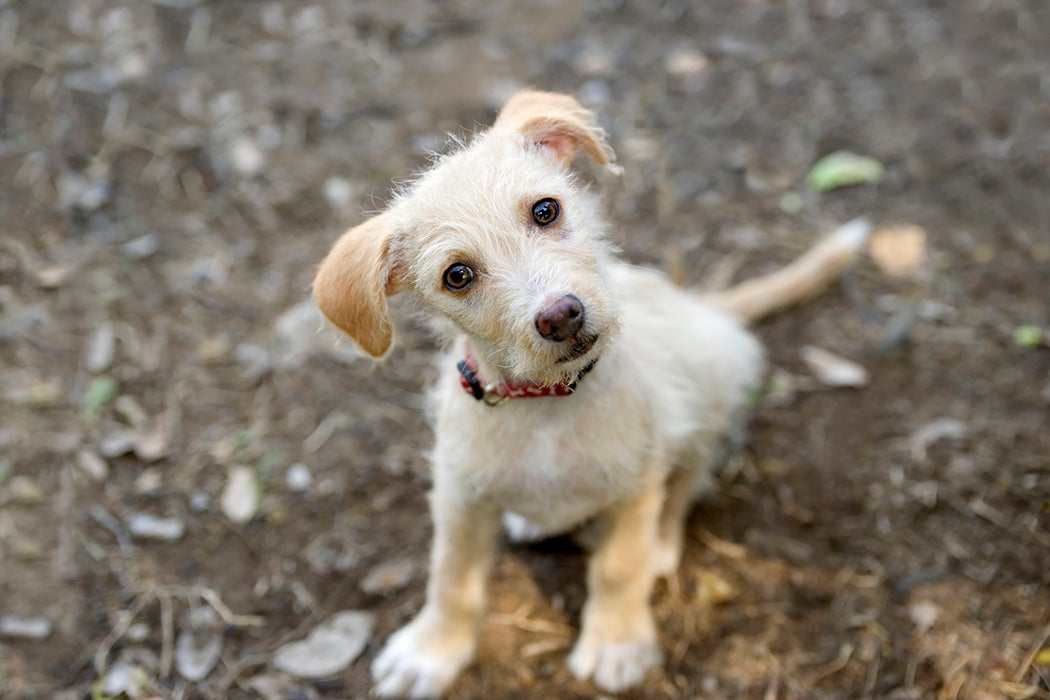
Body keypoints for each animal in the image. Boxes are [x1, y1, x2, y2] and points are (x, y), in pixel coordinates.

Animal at [310, 90, 869, 696]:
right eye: (457, 275)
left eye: (545, 210)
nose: (561, 316)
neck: (547, 406)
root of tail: (701, 306)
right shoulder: (459, 494)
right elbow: (451, 577)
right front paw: (430, 652)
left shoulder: (634, 485)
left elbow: (618, 567)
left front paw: (616, 643)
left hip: (709, 387)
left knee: (687, 479)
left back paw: (662, 544)